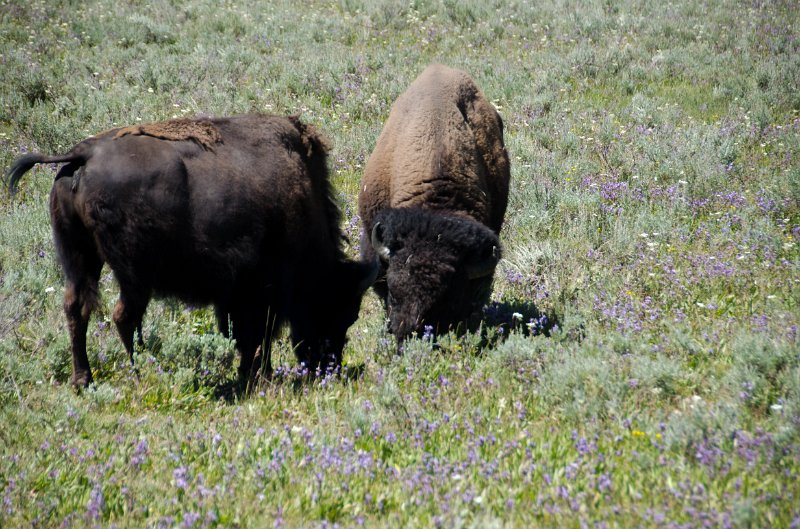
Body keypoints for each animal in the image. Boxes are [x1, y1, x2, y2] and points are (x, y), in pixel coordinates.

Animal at [7, 114, 378, 388]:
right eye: (342, 312)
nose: (329, 367)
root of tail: (83, 154)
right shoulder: (259, 292)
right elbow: (257, 334)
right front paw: (258, 375)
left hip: (80, 259)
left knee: (78, 309)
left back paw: (84, 381)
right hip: (133, 274)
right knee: (123, 316)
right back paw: (143, 371)